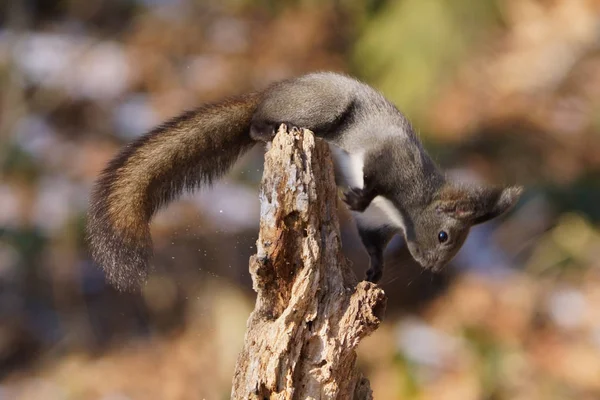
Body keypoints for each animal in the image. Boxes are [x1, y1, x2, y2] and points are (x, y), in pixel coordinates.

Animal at [86, 72, 524, 290]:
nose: (431, 267)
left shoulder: (377, 224)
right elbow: (375, 178)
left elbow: (372, 242)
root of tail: (271, 93)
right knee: (256, 123)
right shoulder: (392, 160)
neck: (403, 213)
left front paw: (374, 271)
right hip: (325, 108)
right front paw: (358, 196)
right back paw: (268, 127)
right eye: (444, 236)